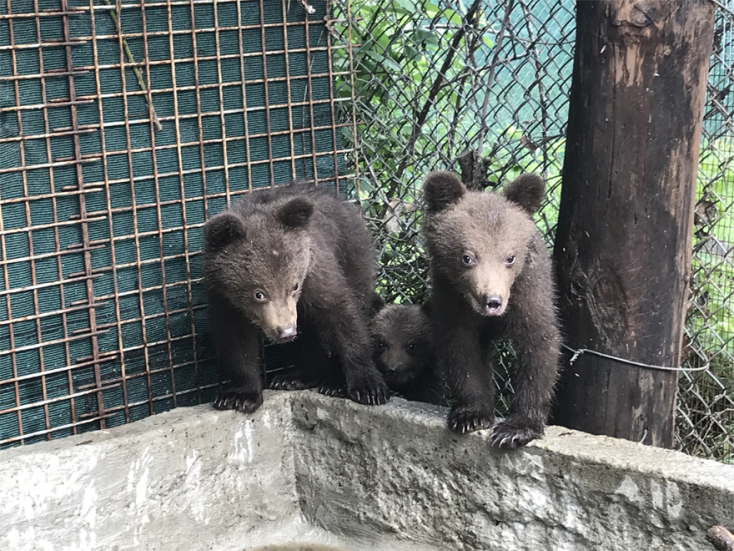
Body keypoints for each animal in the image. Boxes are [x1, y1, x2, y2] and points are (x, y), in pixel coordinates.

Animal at [202, 183, 389, 414]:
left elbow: (342, 316)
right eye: (259, 293)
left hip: (353, 257)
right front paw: (239, 396)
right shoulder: (223, 298)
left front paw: (368, 388)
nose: (286, 331)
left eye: (294, 285)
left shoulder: (316, 274)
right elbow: (236, 340)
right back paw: (296, 377)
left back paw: (334, 384)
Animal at [422, 171, 561, 448]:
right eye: (467, 257)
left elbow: (538, 345)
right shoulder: (451, 297)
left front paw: (516, 429)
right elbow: (461, 349)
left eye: (510, 257)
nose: (492, 301)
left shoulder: (529, 293)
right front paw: (470, 415)